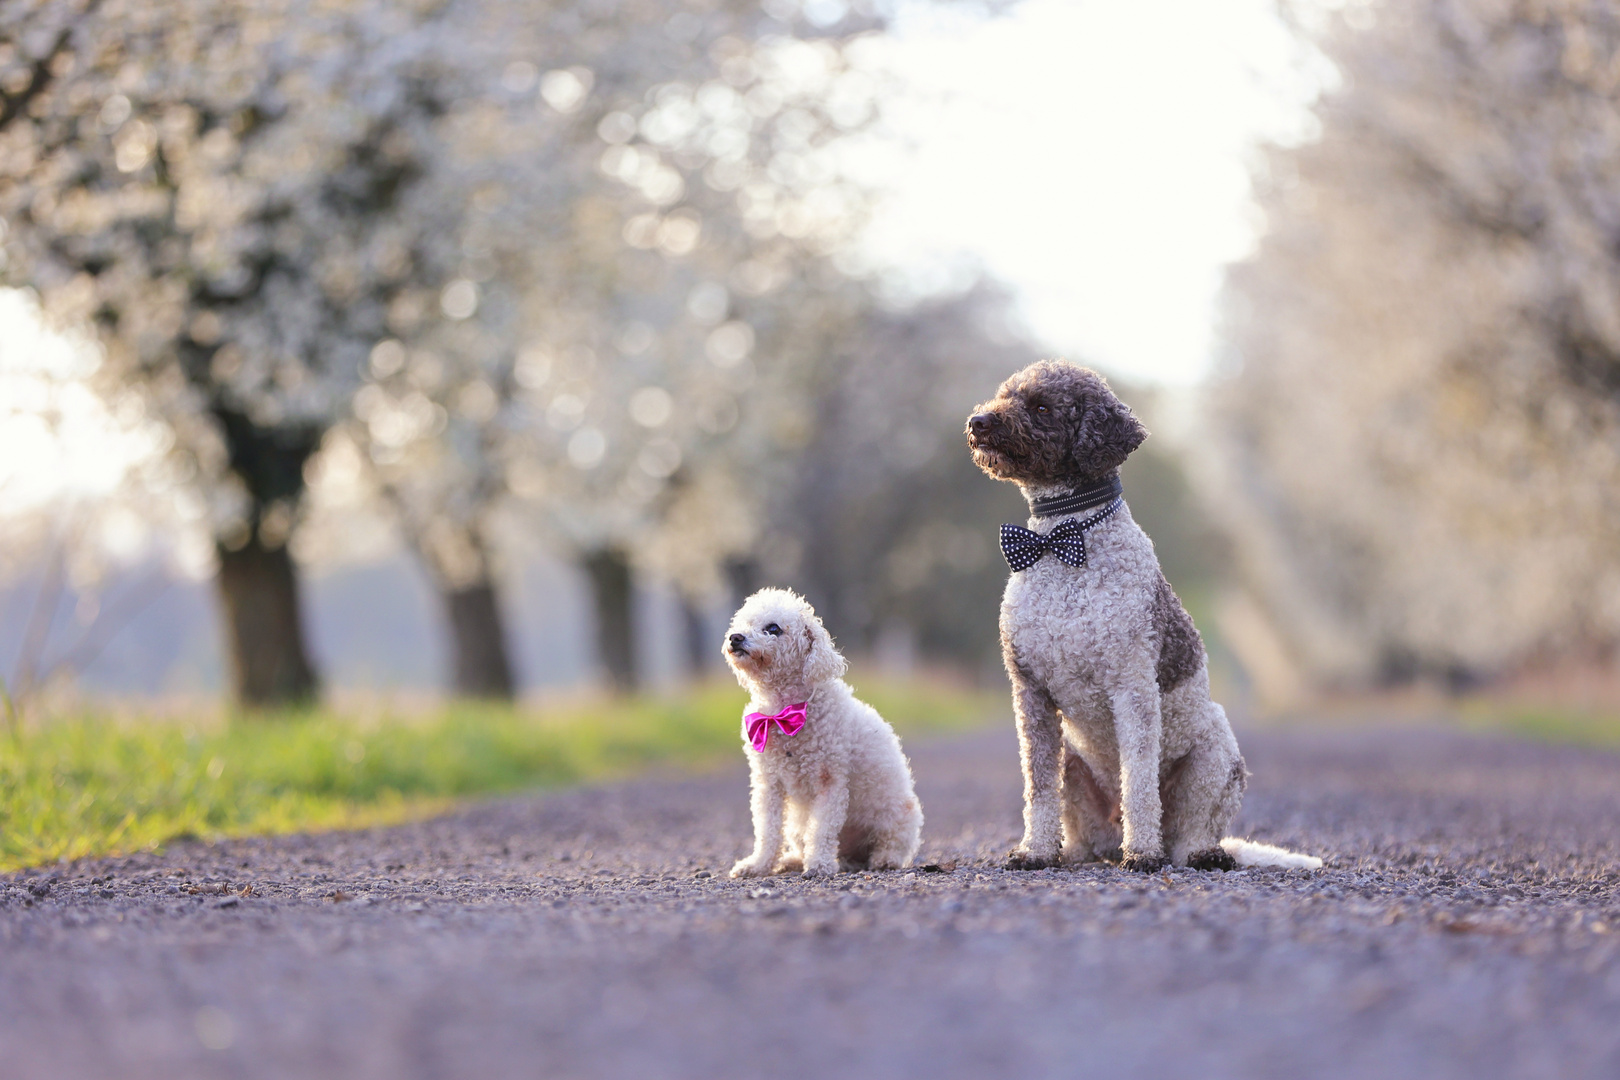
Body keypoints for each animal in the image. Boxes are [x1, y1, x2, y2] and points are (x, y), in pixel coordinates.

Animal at [725, 592, 926, 880]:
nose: (735, 637)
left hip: (900, 815)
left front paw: (819, 864)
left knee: (894, 844)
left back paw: (884, 859)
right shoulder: (768, 782)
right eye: (743, 623)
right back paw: (793, 860)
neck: (784, 712)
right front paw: (758, 865)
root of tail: (852, 857)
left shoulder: (829, 781)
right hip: (798, 824)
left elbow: (822, 829)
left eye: (773, 628)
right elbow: (767, 830)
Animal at [959, 359, 1315, 874]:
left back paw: (1192, 851)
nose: (978, 421)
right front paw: (1034, 851)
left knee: (1191, 830)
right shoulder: (1031, 694)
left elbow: (1140, 780)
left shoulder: (1132, 688)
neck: (1060, 543)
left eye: (1042, 406)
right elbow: (1038, 787)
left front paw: (1142, 852)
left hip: (1216, 755)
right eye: (1003, 394)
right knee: (1083, 834)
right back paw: (1077, 852)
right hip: (1074, 763)